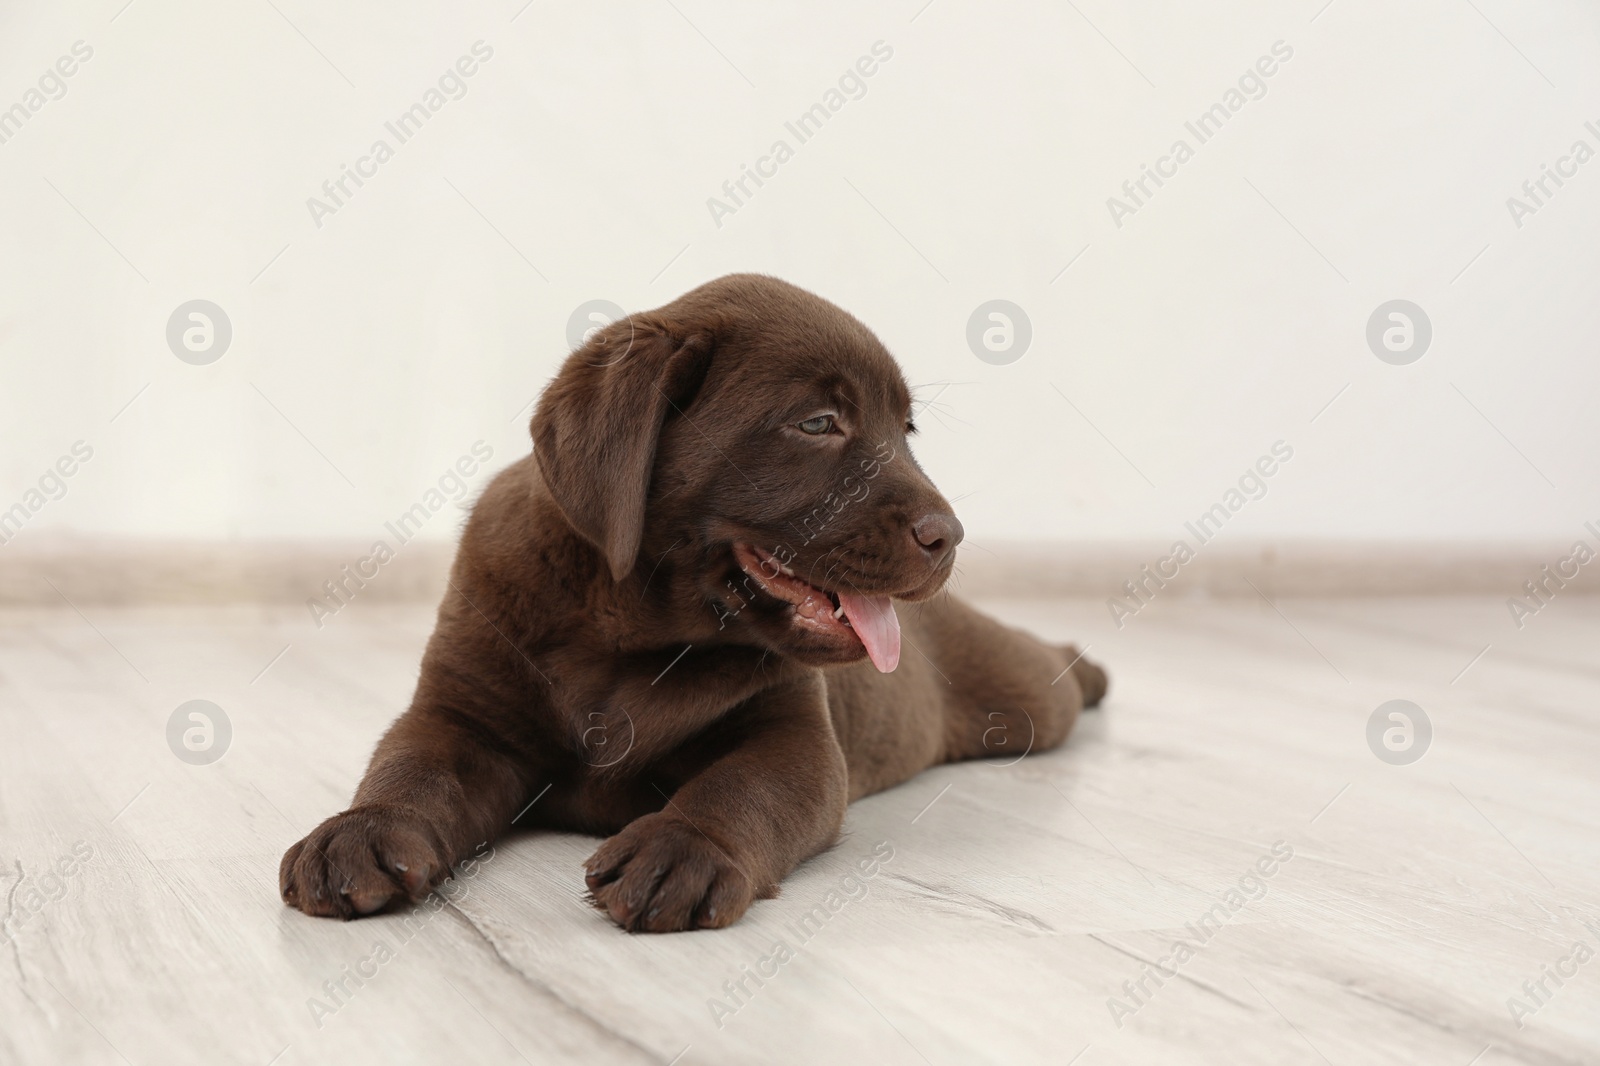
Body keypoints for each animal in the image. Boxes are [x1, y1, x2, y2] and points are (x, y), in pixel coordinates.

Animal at [278, 275, 1100, 928]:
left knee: (1046, 670)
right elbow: (411, 765)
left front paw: (682, 850)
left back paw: (1087, 669)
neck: (626, 632)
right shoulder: (463, 714)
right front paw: (363, 829)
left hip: (1019, 702)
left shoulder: (793, 735)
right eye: (817, 423)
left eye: (905, 430)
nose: (949, 535)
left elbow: (741, 788)